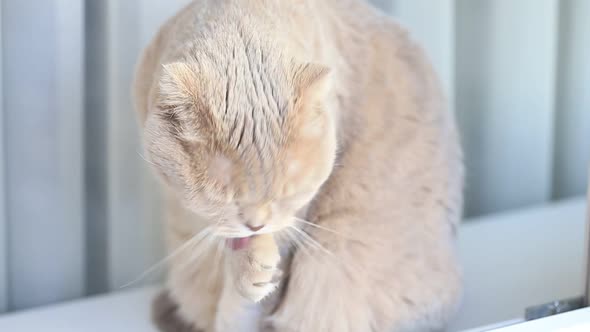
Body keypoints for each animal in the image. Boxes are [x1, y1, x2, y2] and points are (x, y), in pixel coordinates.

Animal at [133, 0, 462, 332]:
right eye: (226, 196)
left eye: (286, 193)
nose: (256, 225)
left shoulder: (294, 218)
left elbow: (248, 300)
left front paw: (250, 275)